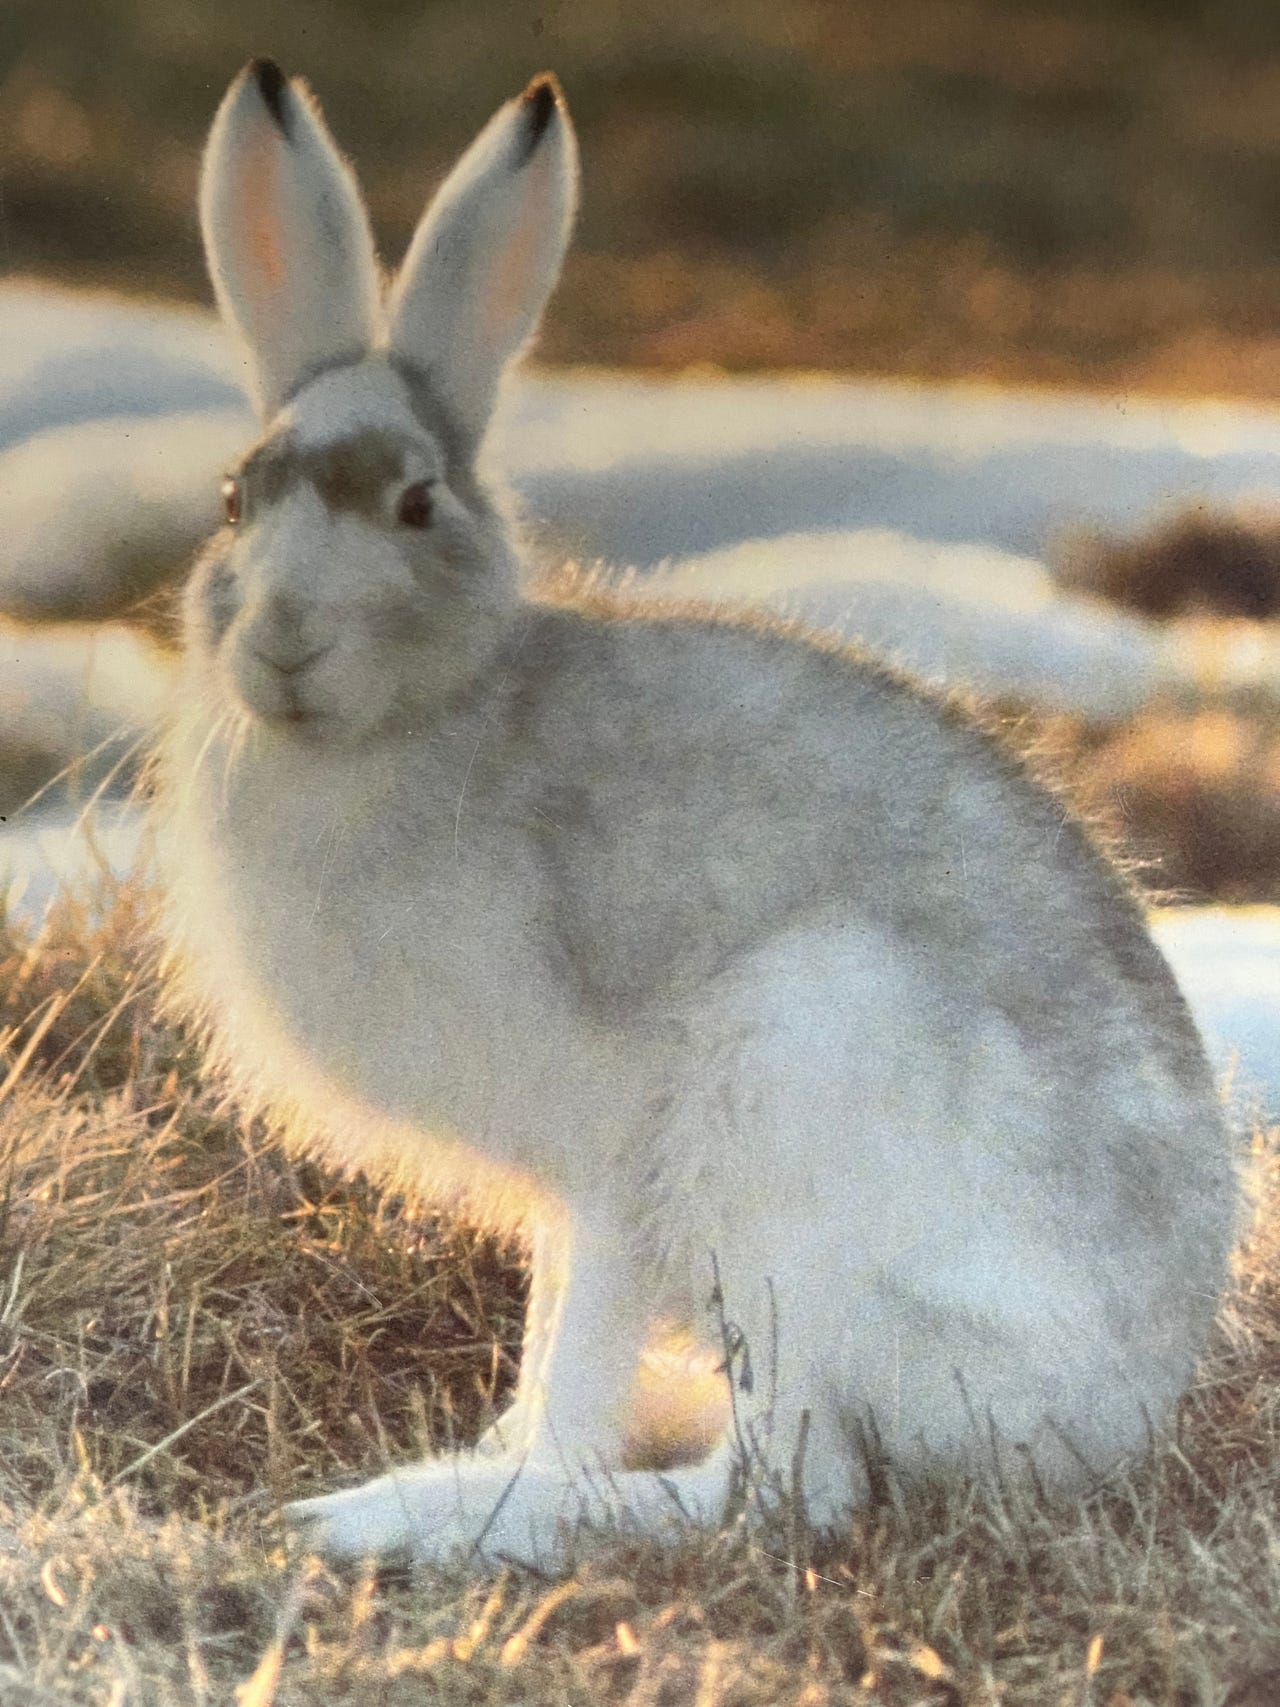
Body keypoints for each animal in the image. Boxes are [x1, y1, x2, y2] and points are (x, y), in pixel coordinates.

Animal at [152, 57, 1240, 1570]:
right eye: (232, 498)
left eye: (418, 503)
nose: (283, 646)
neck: (436, 713)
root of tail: (1116, 1404)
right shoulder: (572, 1198)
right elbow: (551, 1325)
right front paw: (506, 1435)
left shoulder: (615, 1160)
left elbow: (580, 1336)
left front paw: (518, 1465)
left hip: (798, 1123)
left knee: (791, 1487)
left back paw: (412, 1512)